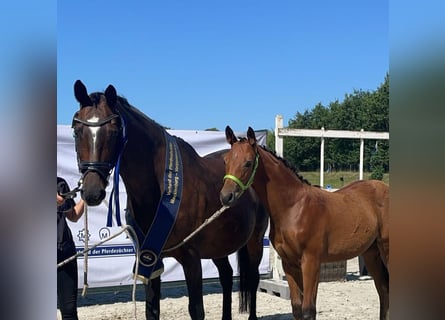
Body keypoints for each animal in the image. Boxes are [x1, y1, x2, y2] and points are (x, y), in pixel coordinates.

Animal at [71, 82, 268, 320]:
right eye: (76, 130)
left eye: (115, 130)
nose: (92, 191)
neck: (159, 192)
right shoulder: (149, 258)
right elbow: (151, 310)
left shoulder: (191, 258)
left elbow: (196, 310)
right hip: (219, 245)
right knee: (227, 276)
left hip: (255, 242)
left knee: (253, 278)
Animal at [219, 126, 388, 318]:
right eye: (225, 160)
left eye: (248, 163)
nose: (226, 196)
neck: (293, 207)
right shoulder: (289, 264)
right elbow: (297, 307)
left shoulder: (311, 262)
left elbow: (308, 309)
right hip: (371, 253)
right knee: (383, 291)